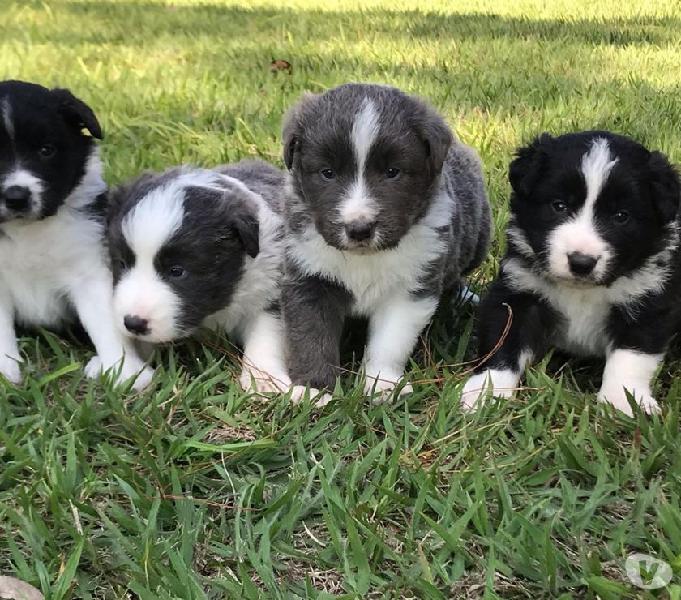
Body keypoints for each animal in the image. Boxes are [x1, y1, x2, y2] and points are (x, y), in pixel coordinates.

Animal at [0, 79, 150, 390]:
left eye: (46, 150)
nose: (16, 198)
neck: (28, 231)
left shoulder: (89, 269)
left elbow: (105, 322)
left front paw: (125, 372)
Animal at [107, 159, 290, 394]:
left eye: (177, 271)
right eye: (122, 263)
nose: (133, 323)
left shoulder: (270, 289)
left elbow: (266, 334)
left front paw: (264, 380)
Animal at [280, 79, 488, 398]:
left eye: (393, 172)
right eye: (327, 173)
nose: (359, 229)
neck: (365, 258)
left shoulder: (410, 288)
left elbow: (390, 342)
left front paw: (382, 385)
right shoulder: (309, 277)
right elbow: (311, 336)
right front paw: (314, 389)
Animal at [462, 130, 680, 418]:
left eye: (621, 216)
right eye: (559, 205)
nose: (581, 262)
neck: (582, 291)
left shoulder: (646, 301)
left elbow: (632, 355)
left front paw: (623, 402)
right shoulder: (518, 292)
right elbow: (503, 341)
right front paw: (485, 392)